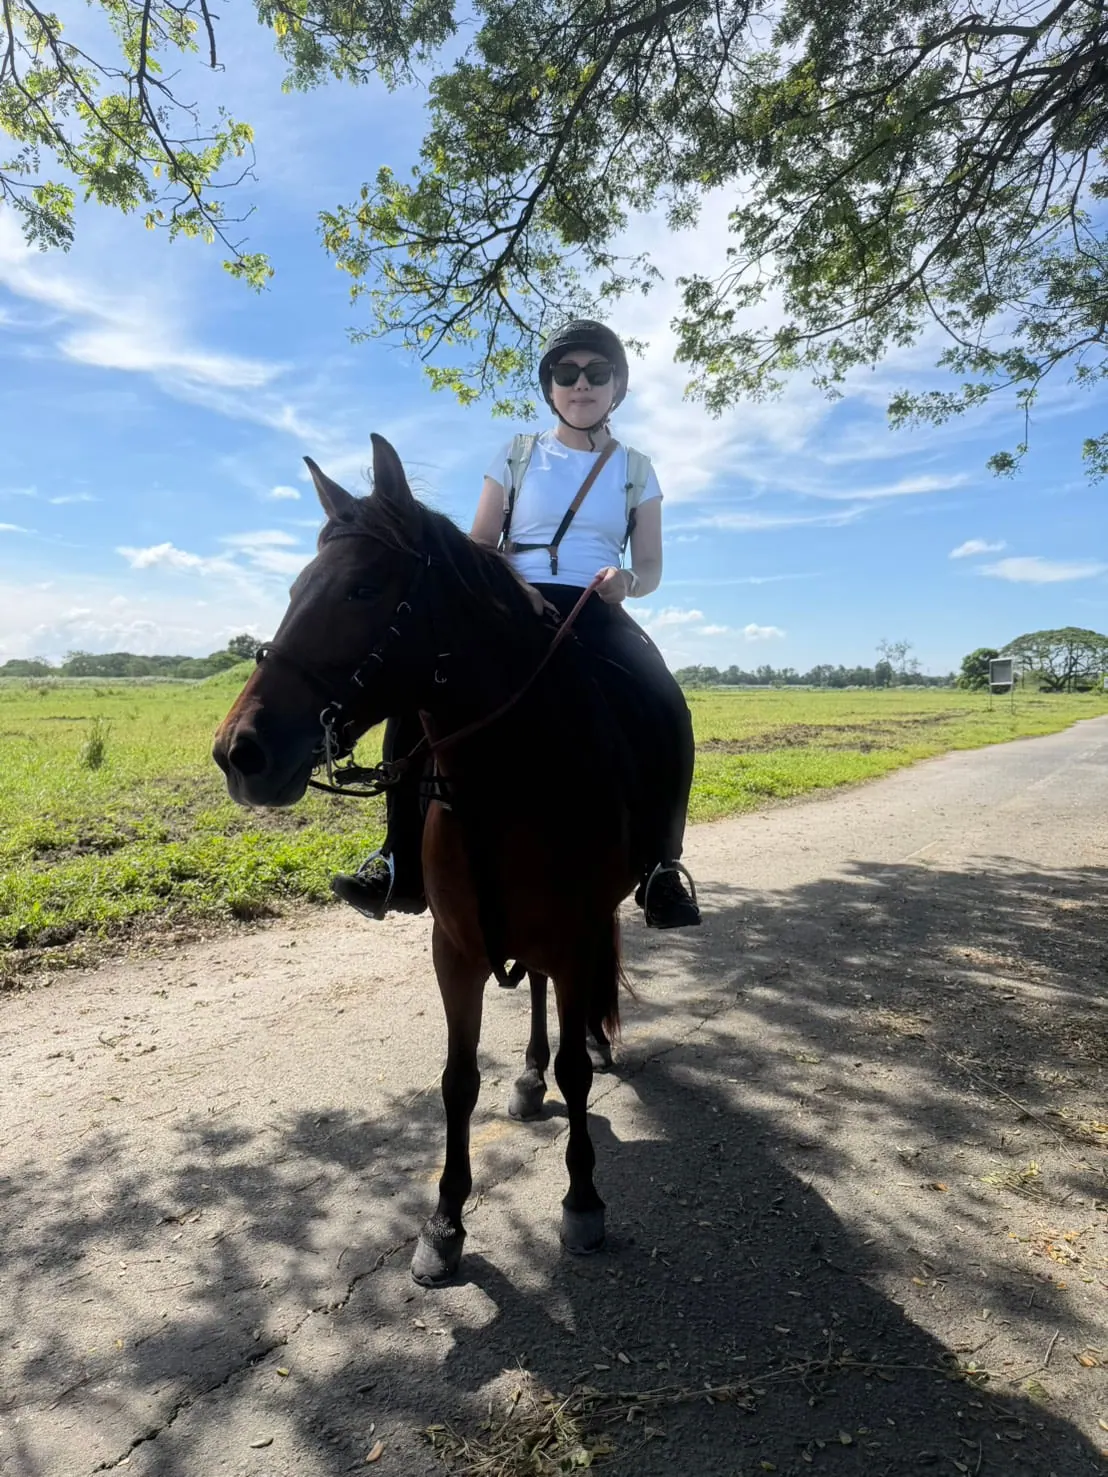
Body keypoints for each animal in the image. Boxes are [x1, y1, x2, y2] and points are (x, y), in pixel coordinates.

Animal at [212, 435, 646, 1285]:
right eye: (297, 585)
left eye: (363, 587)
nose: (239, 752)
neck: (506, 780)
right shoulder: (456, 947)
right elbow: (457, 1079)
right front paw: (445, 1220)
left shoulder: (576, 931)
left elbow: (578, 1076)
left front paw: (582, 1200)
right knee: (534, 992)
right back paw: (529, 1073)